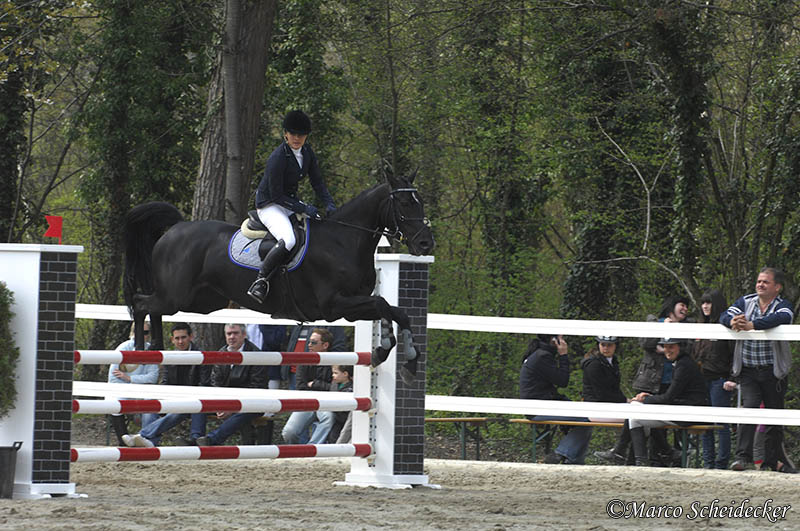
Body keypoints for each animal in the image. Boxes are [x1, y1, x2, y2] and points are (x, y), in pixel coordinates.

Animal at [123, 171, 434, 383]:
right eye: (404, 203)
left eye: (420, 202)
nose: (425, 244)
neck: (344, 241)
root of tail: (175, 228)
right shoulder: (335, 306)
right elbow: (383, 305)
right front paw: (392, 353)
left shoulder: (353, 305)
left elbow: (395, 311)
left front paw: (404, 359)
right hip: (176, 296)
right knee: (140, 303)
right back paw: (138, 354)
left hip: (202, 301)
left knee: (151, 307)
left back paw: (154, 350)